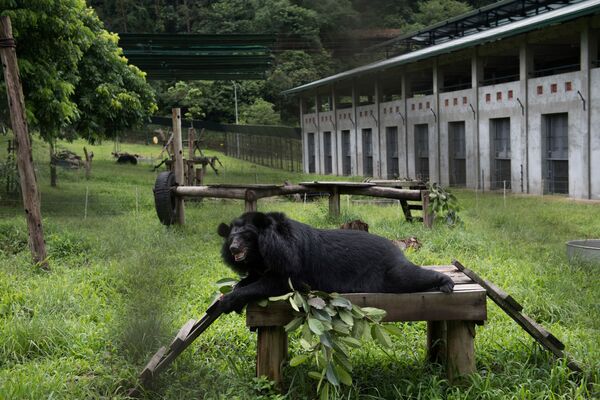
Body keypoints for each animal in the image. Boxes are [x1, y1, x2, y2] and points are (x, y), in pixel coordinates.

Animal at [217, 211, 454, 314]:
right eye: (231, 238)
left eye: (246, 236)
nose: (234, 249)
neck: (264, 251)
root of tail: (396, 248)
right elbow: (255, 277)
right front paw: (238, 285)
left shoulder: (291, 260)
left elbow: (279, 282)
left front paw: (228, 301)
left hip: (387, 272)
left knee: (408, 277)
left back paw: (446, 282)